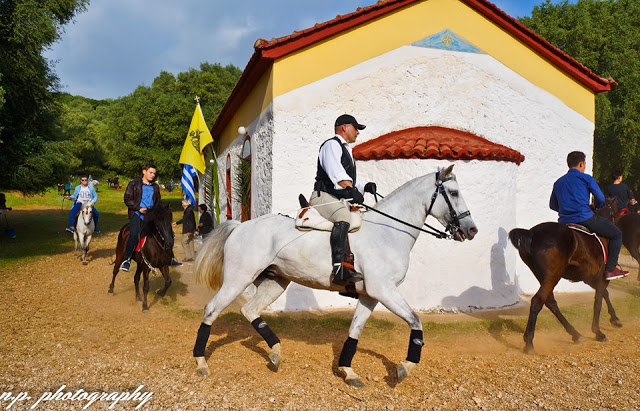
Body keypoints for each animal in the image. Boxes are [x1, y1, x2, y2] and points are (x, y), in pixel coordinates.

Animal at [192, 164, 478, 386]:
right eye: (453, 193)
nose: (471, 229)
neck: (387, 232)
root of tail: (240, 226)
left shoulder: (371, 295)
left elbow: (355, 330)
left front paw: (348, 371)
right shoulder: (385, 290)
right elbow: (416, 321)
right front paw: (405, 367)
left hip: (276, 282)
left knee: (249, 310)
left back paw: (275, 353)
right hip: (237, 279)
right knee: (211, 309)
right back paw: (201, 362)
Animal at [508, 200, 624, 354]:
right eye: (615, 211)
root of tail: (531, 234)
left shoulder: (590, 278)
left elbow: (604, 294)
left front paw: (615, 319)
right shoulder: (600, 278)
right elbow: (598, 302)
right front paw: (598, 332)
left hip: (544, 276)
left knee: (550, 302)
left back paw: (576, 334)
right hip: (553, 276)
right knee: (538, 301)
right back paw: (529, 343)